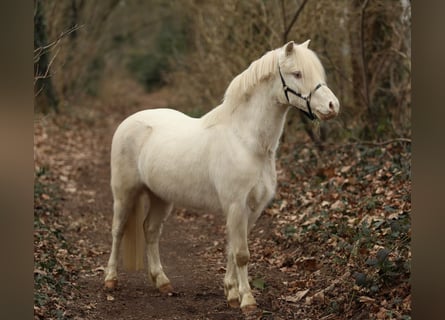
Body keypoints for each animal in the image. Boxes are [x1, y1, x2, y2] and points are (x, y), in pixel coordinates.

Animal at [105, 40, 340, 312]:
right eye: (297, 73)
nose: (333, 106)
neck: (245, 141)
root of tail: (128, 122)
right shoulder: (236, 205)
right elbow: (241, 254)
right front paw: (247, 301)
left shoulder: (251, 209)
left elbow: (232, 250)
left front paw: (231, 294)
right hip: (124, 193)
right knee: (118, 230)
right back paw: (110, 280)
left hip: (160, 197)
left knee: (150, 231)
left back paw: (162, 282)